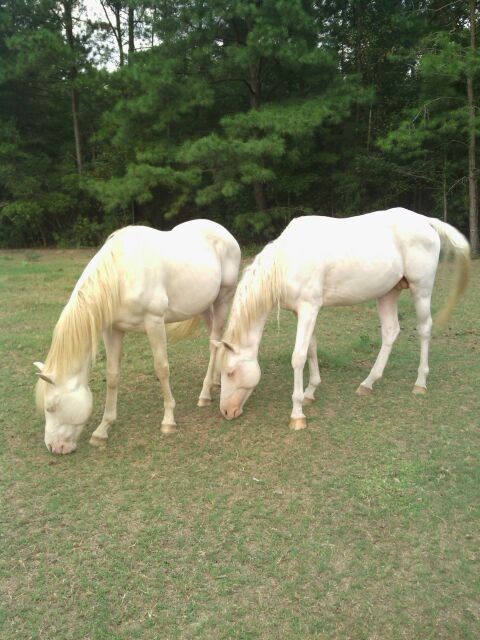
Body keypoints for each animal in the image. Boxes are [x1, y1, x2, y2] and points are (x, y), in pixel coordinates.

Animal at [34, 221, 240, 456]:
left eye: (51, 407)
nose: (54, 447)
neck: (121, 275)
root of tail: (225, 232)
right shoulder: (112, 330)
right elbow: (112, 376)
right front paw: (102, 430)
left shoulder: (155, 322)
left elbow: (161, 368)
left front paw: (168, 421)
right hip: (204, 305)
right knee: (216, 339)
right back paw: (216, 381)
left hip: (223, 297)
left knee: (214, 343)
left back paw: (205, 394)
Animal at [217, 210, 468, 430]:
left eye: (230, 372)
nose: (226, 412)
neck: (287, 261)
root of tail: (426, 221)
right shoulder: (304, 312)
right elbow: (311, 348)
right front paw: (310, 392)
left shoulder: (308, 308)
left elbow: (298, 357)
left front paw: (297, 414)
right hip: (388, 292)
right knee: (390, 331)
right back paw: (368, 383)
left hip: (421, 290)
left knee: (424, 329)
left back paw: (420, 383)